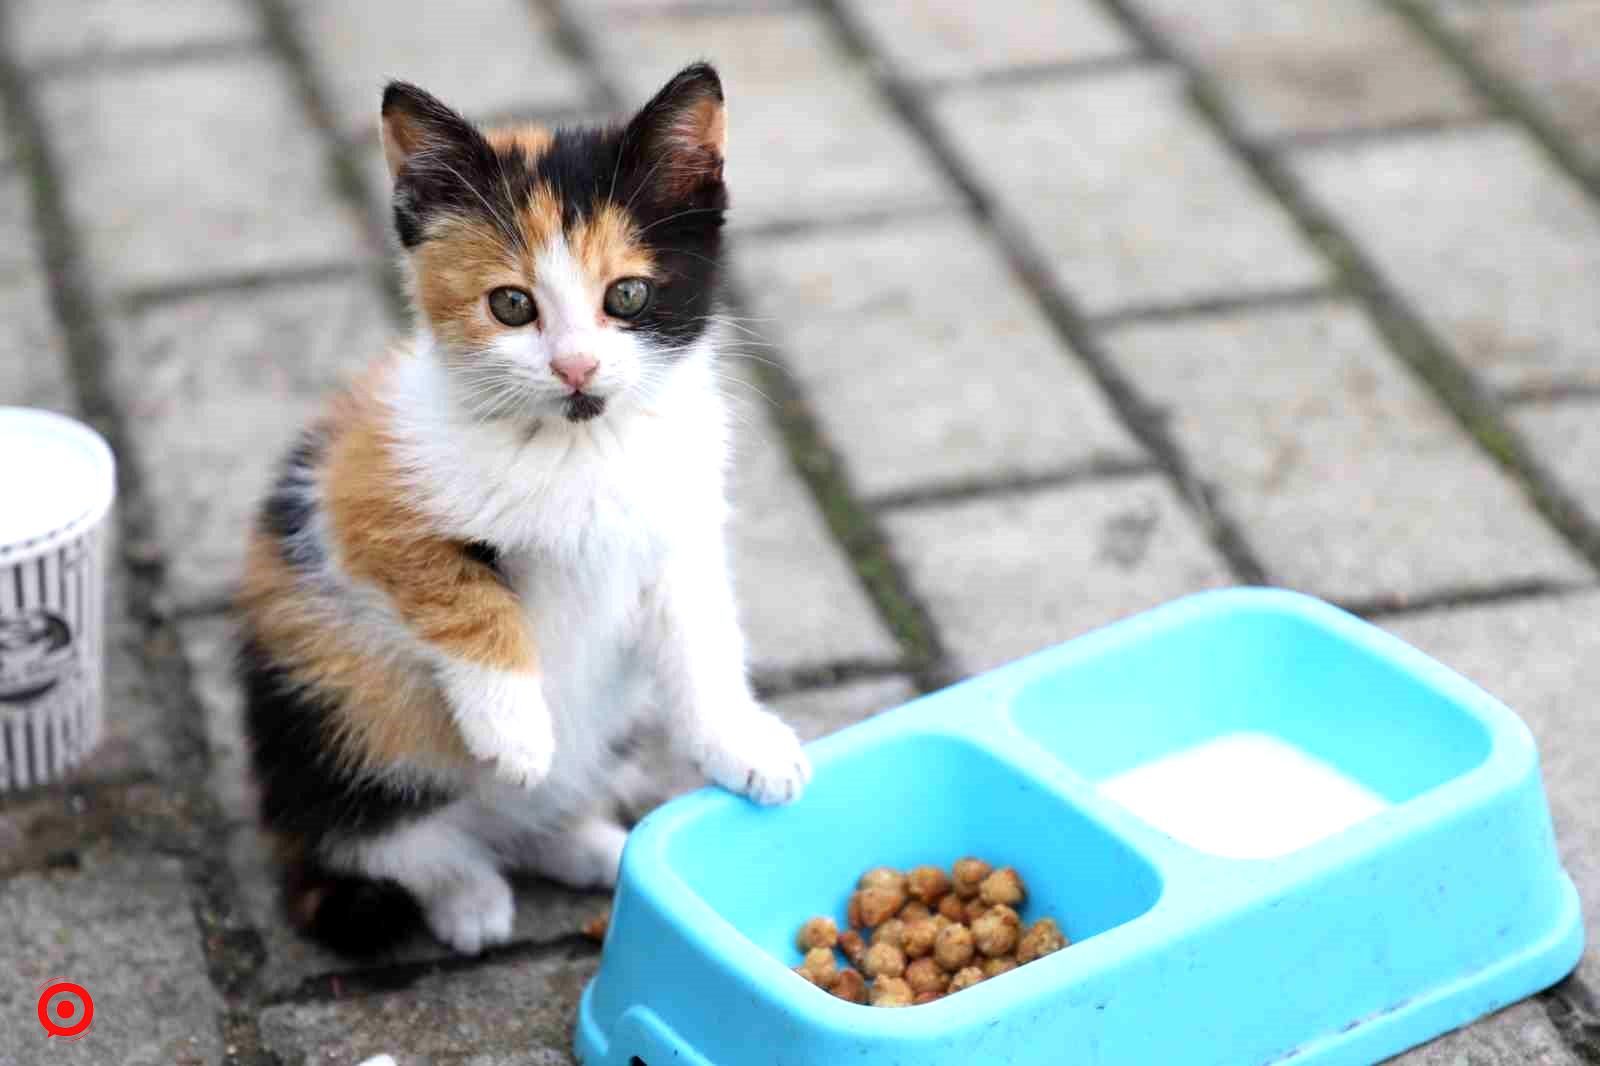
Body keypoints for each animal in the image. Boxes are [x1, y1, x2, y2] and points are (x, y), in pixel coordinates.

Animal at [233, 62, 812, 947]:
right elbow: (456, 588)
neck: (580, 444)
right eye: (511, 304)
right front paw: (515, 732)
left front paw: (743, 743)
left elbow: (700, 640)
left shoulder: (678, 531)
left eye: (628, 295)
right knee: (393, 841)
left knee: (530, 821)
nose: (575, 367)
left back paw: (590, 846)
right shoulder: (353, 491)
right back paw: (471, 897)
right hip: (340, 722)